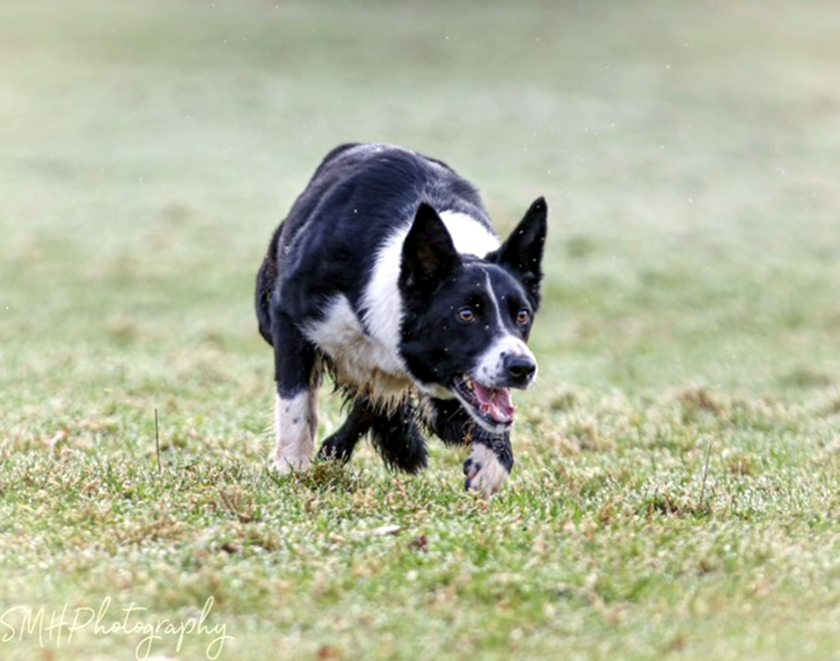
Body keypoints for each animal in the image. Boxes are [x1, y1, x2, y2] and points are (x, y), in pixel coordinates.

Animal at [253, 144, 548, 496]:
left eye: (522, 315)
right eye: (466, 314)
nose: (523, 368)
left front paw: (491, 462)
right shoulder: (289, 317)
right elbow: (295, 403)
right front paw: (292, 469)